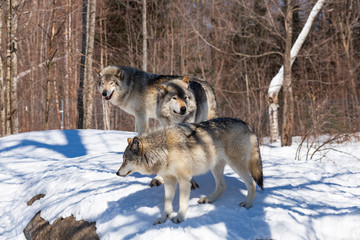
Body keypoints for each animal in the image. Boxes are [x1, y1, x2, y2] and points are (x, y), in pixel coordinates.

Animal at [116, 118, 262, 225]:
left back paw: (247, 203)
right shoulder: (169, 180)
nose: (117, 173)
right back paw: (208, 199)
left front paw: (179, 217)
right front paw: (163, 218)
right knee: (222, 186)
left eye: (126, 160)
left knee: (252, 183)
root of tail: (247, 125)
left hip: (236, 165)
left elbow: (182, 202)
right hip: (215, 167)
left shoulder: (184, 179)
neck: (165, 149)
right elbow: (167, 204)